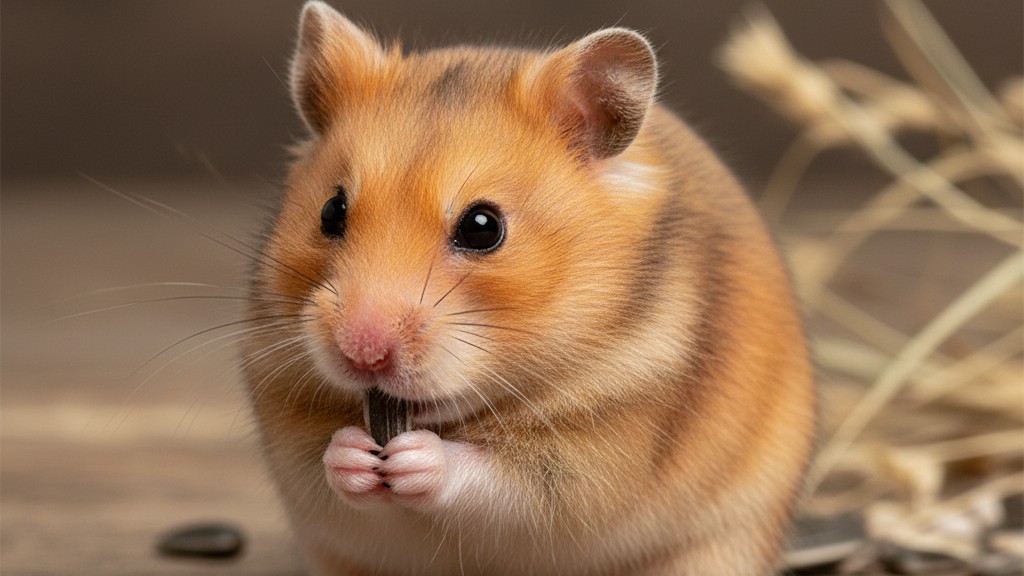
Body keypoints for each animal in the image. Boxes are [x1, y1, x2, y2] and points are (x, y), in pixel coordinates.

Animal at [243, 2, 816, 575]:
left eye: (482, 227)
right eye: (330, 211)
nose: (361, 353)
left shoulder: (591, 461)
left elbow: (499, 482)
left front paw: (416, 456)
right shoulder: (292, 439)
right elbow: (327, 471)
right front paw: (353, 454)